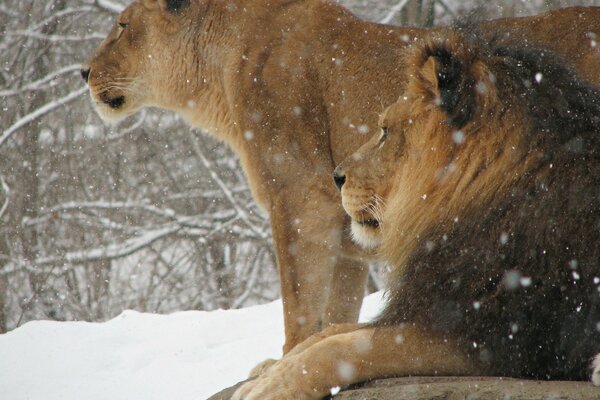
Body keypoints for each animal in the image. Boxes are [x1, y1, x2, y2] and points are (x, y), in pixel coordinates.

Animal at [82, 0, 600, 350]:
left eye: (123, 25)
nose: (84, 71)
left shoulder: (300, 199)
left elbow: (299, 308)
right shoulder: (349, 237)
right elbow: (334, 313)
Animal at [232, 29, 600, 398]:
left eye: (384, 131)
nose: (336, 177)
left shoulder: (492, 336)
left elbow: (345, 347)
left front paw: (268, 387)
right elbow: (330, 333)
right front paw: (269, 370)